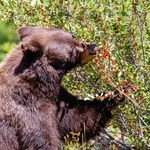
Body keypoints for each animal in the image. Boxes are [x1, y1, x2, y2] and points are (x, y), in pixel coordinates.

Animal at [0, 26, 135, 149]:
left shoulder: (57, 98)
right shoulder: (27, 111)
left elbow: (78, 118)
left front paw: (123, 90)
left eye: (73, 36)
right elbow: (42, 138)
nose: (92, 46)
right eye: (71, 49)